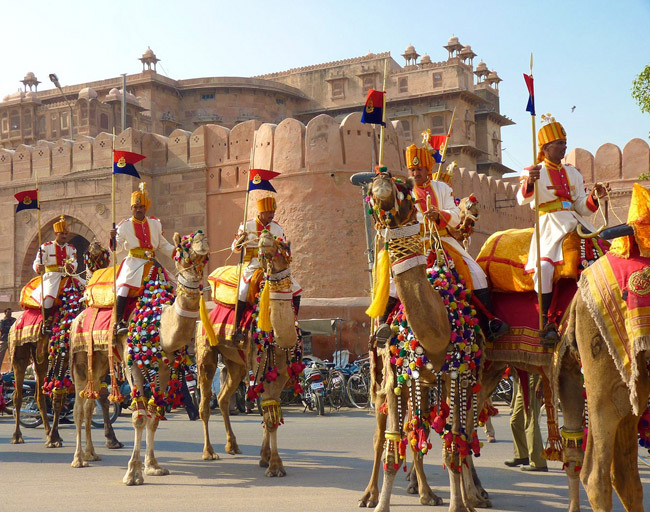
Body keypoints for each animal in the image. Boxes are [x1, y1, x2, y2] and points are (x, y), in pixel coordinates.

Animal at [196, 229, 302, 477]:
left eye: (283, 245)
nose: (265, 237)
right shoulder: (262, 367)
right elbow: (269, 417)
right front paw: (275, 465)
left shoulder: (280, 372)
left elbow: (270, 413)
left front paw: (265, 458)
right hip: (206, 352)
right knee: (204, 403)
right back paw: (208, 452)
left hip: (236, 364)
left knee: (223, 398)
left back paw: (232, 445)